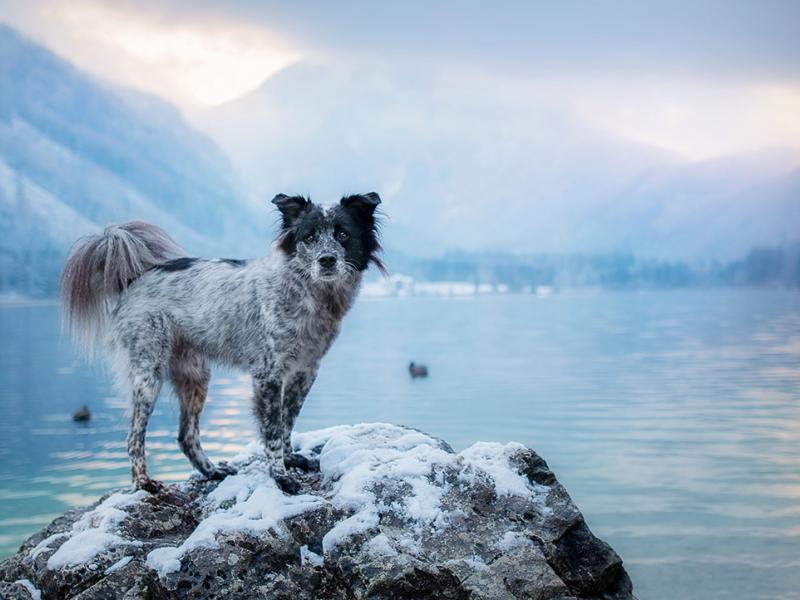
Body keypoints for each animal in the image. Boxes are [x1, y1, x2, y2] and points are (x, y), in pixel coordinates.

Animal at [60, 195, 384, 494]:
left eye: (343, 234)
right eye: (310, 237)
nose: (326, 260)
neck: (306, 291)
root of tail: (135, 278)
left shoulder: (304, 371)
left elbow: (288, 422)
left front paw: (290, 460)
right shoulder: (268, 374)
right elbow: (273, 430)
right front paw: (280, 475)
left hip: (195, 377)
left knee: (186, 436)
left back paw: (212, 470)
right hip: (148, 374)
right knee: (134, 436)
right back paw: (143, 481)